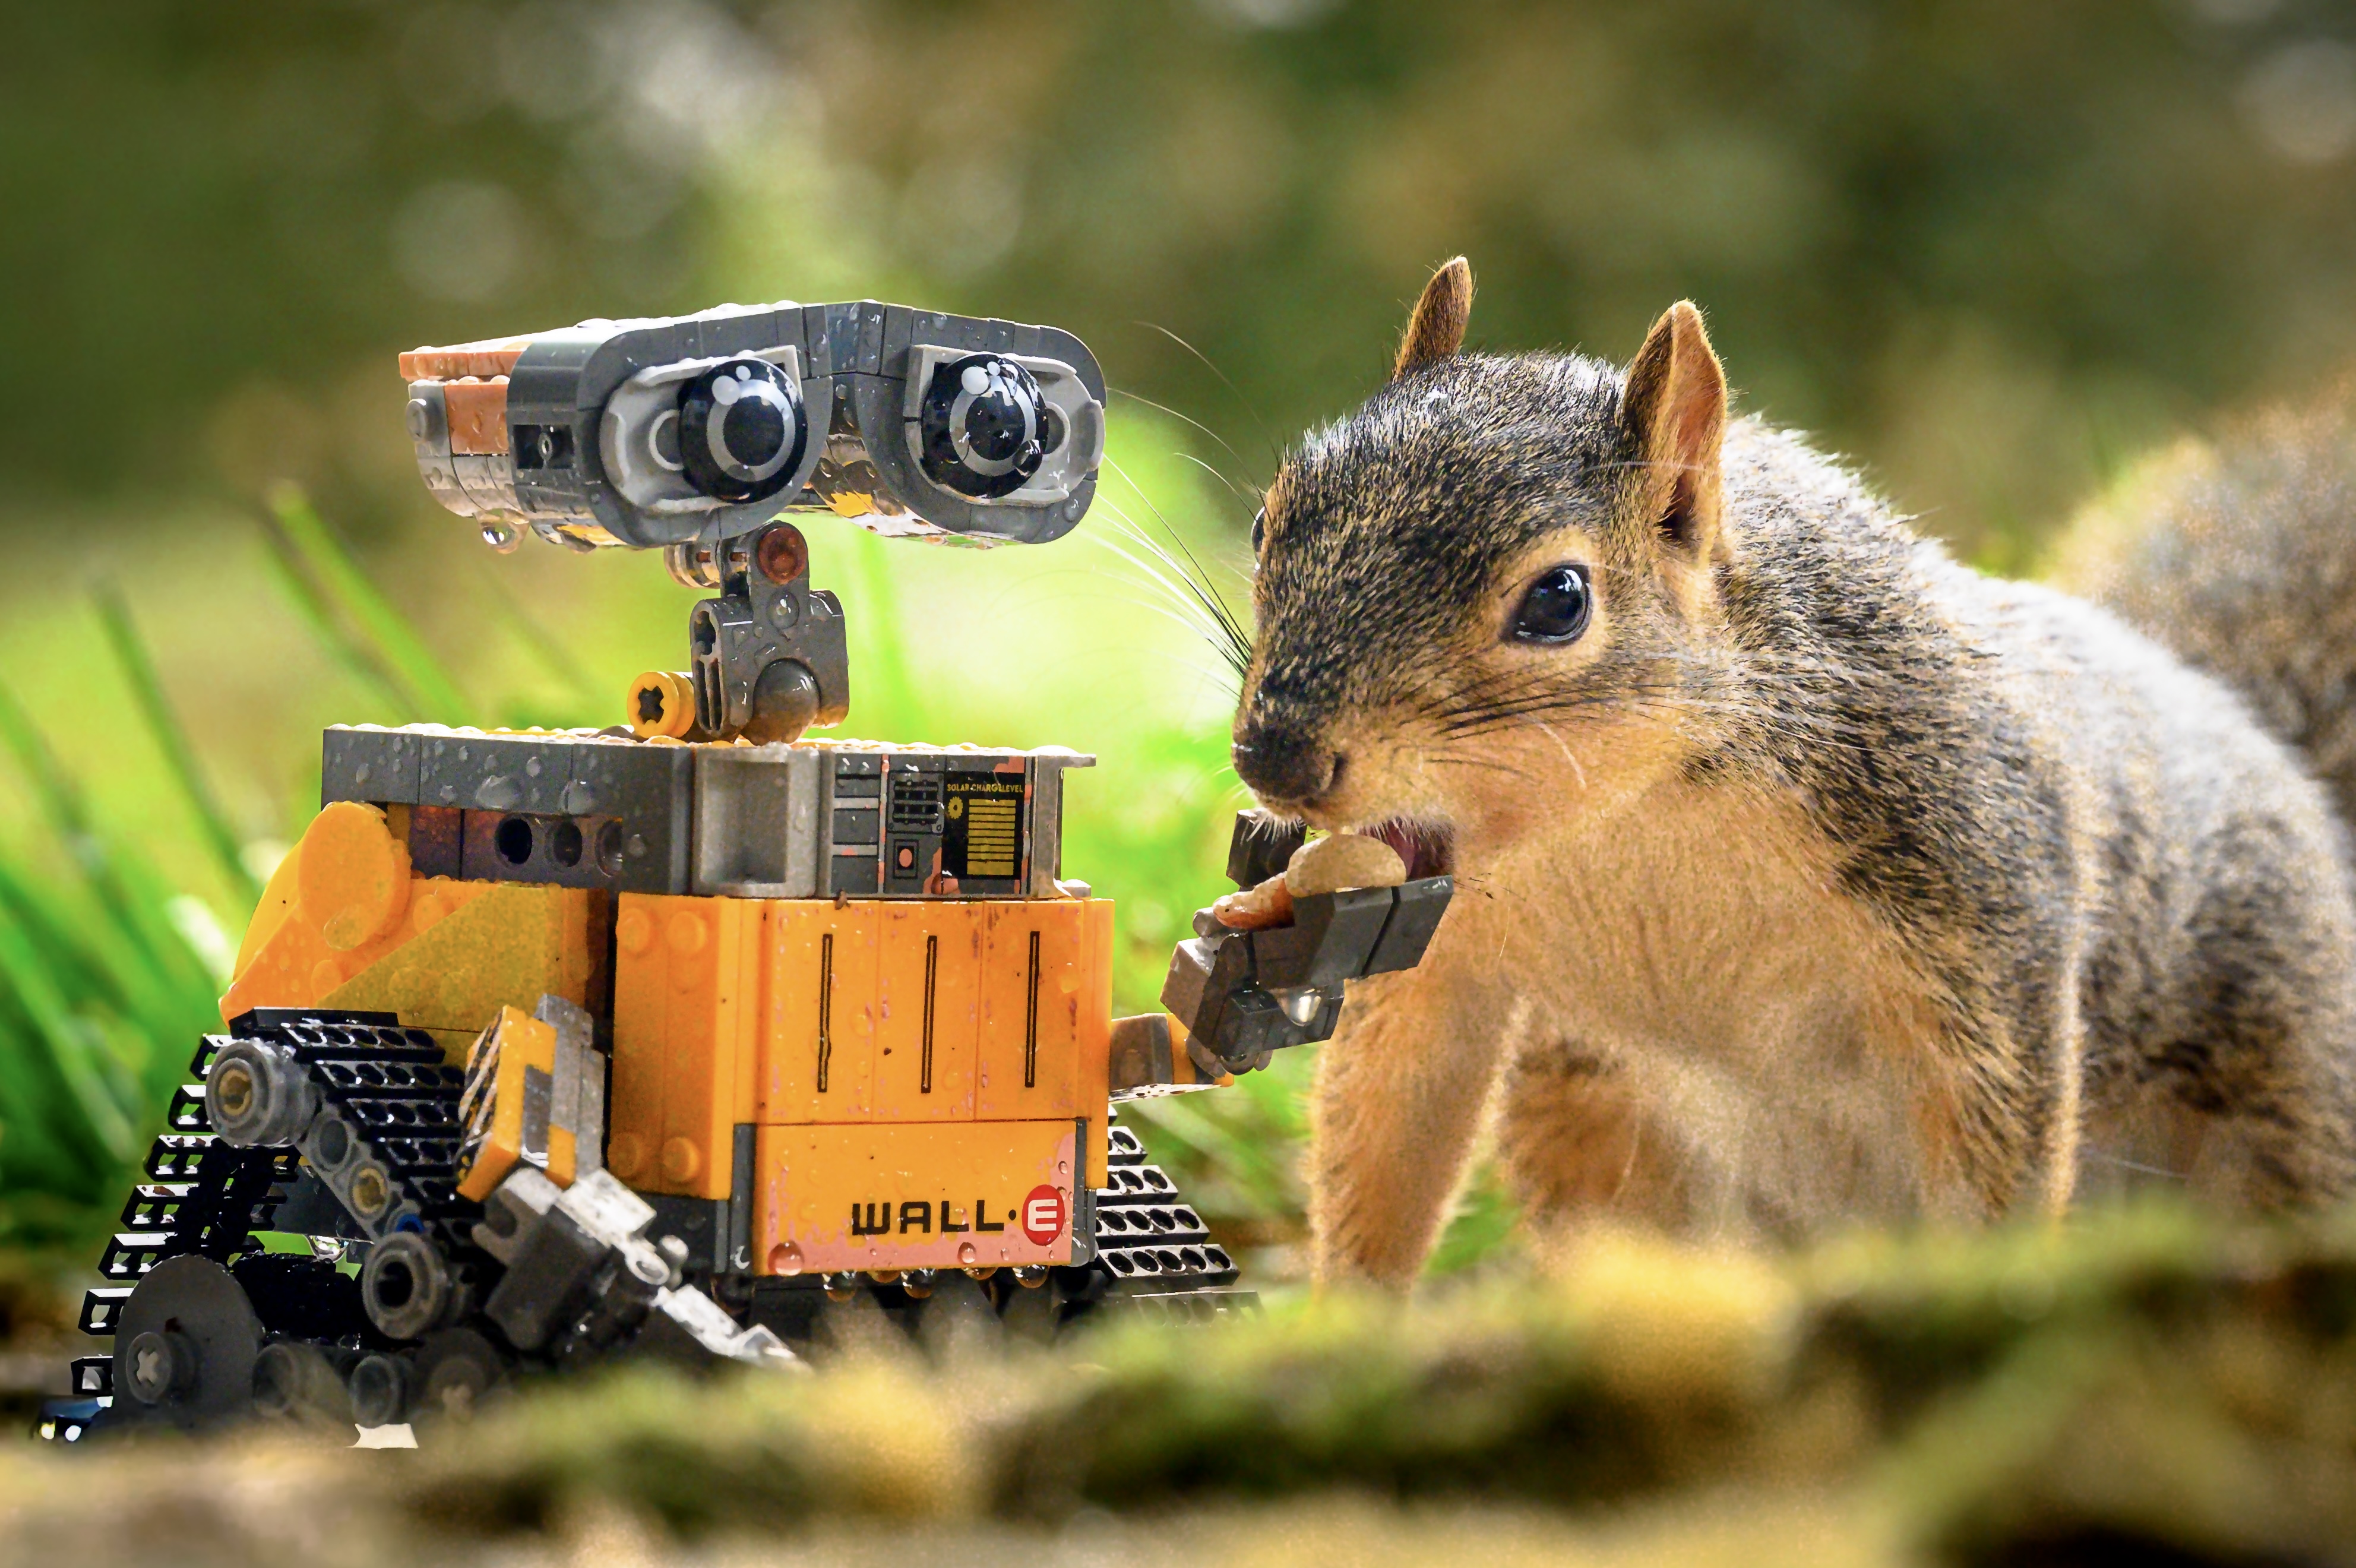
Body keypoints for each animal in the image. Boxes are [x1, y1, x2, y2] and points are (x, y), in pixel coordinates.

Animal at [1229, 256, 2356, 1287]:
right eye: (1264, 523)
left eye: (1557, 599)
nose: (1274, 755)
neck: (1623, 822)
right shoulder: (1444, 954)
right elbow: (1389, 1121)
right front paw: (1344, 1321)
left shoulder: (1982, 899)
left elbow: (1995, 1134)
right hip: (1592, 1119)